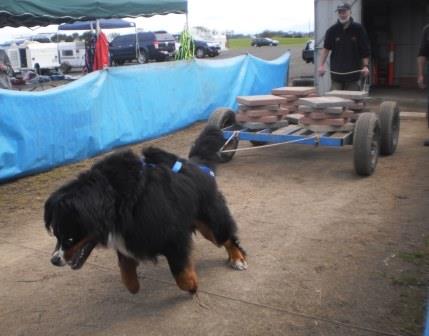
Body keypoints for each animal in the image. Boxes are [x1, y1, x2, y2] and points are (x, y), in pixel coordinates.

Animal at [44, 126, 246, 294]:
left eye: (70, 238)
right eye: (56, 235)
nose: (54, 260)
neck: (118, 201)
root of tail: (196, 165)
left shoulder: (172, 234)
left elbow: (180, 270)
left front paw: (191, 285)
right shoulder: (126, 235)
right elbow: (125, 267)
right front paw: (133, 285)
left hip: (211, 224)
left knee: (226, 236)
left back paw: (238, 259)